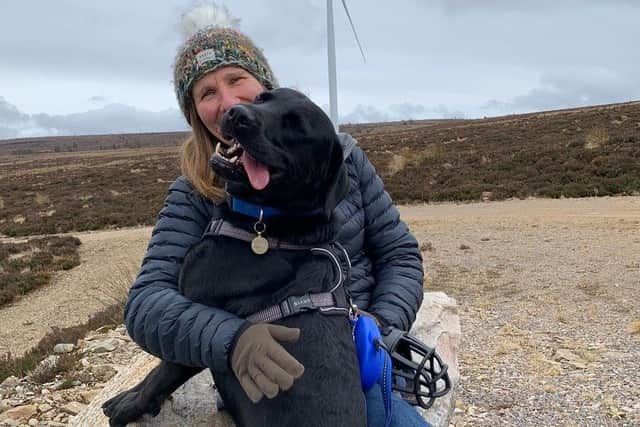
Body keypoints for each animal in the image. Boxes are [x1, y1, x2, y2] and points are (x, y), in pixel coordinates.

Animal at [104, 88, 364, 426]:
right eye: (262, 98)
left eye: (296, 126)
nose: (238, 114)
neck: (269, 226)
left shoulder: (201, 327)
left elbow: (160, 375)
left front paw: (130, 406)